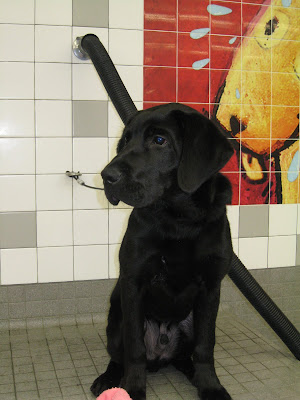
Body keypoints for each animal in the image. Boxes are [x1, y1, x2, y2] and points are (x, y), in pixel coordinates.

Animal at [91, 101, 234, 398]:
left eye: (159, 140)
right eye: (125, 141)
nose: (106, 176)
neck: (179, 218)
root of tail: (161, 358)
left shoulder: (211, 287)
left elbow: (206, 347)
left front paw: (210, 385)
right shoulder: (133, 282)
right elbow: (135, 348)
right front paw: (133, 388)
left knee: (185, 356)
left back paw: (191, 373)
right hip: (116, 317)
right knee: (120, 355)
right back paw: (109, 378)